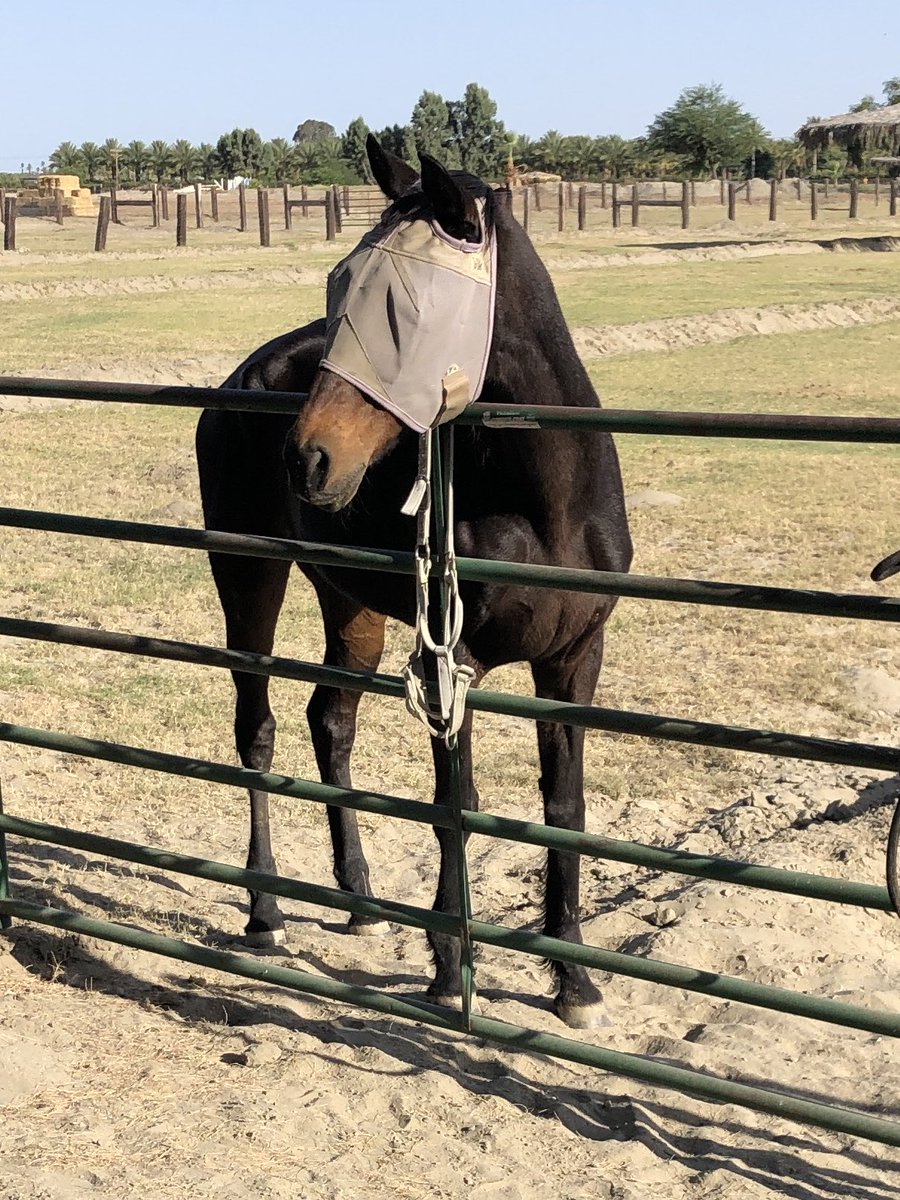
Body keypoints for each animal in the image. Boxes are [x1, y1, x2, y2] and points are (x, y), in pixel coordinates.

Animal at [196, 138, 633, 1022]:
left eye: (408, 310)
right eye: (339, 284)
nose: (308, 458)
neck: (549, 503)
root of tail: (242, 379)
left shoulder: (574, 660)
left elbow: (563, 808)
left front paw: (574, 982)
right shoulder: (449, 669)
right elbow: (451, 806)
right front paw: (448, 962)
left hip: (348, 602)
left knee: (330, 720)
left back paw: (360, 901)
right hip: (248, 575)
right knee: (256, 731)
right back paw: (266, 913)